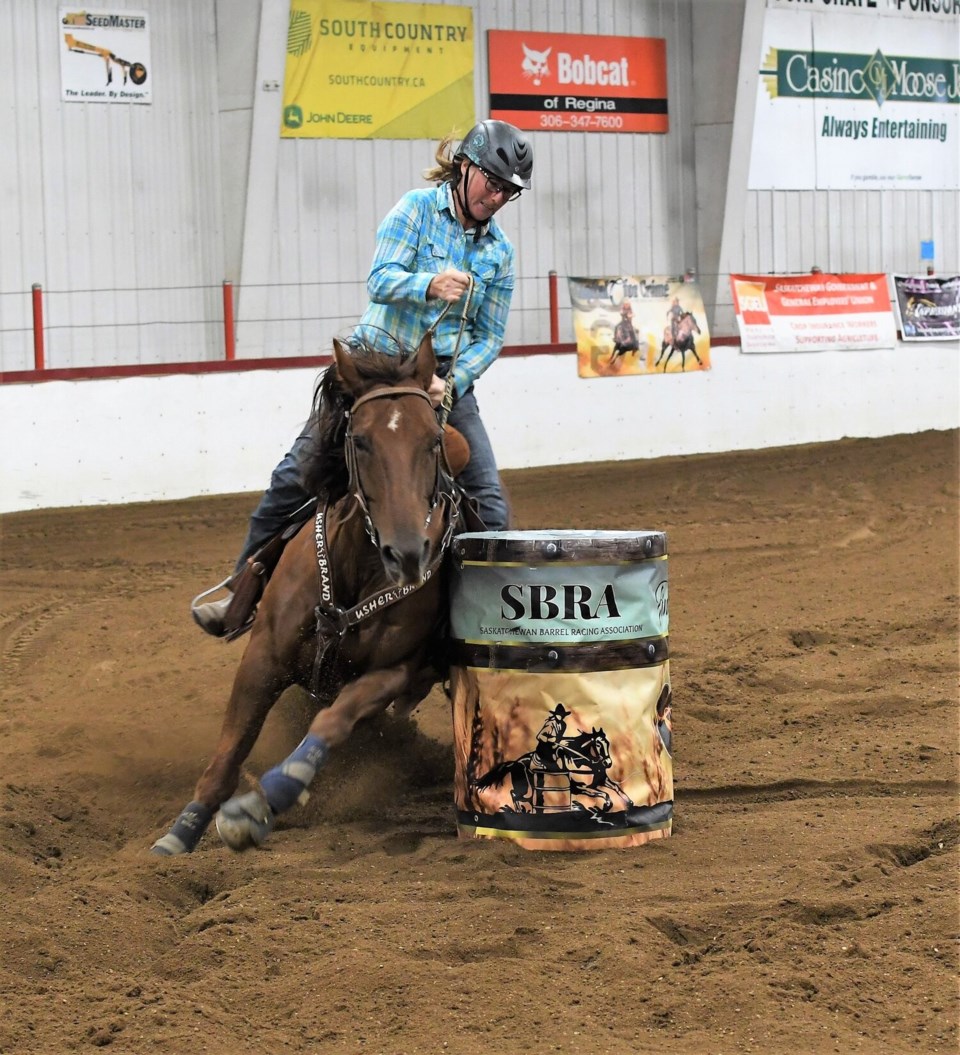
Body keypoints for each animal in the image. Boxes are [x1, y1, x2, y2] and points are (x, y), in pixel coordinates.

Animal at [151, 337, 459, 856]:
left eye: (433, 441)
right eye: (360, 440)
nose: (408, 553)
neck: (356, 567)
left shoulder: (395, 671)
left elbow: (333, 722)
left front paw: (263, 801)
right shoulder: (264, 655)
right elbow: (231, 749)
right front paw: (182, 832)